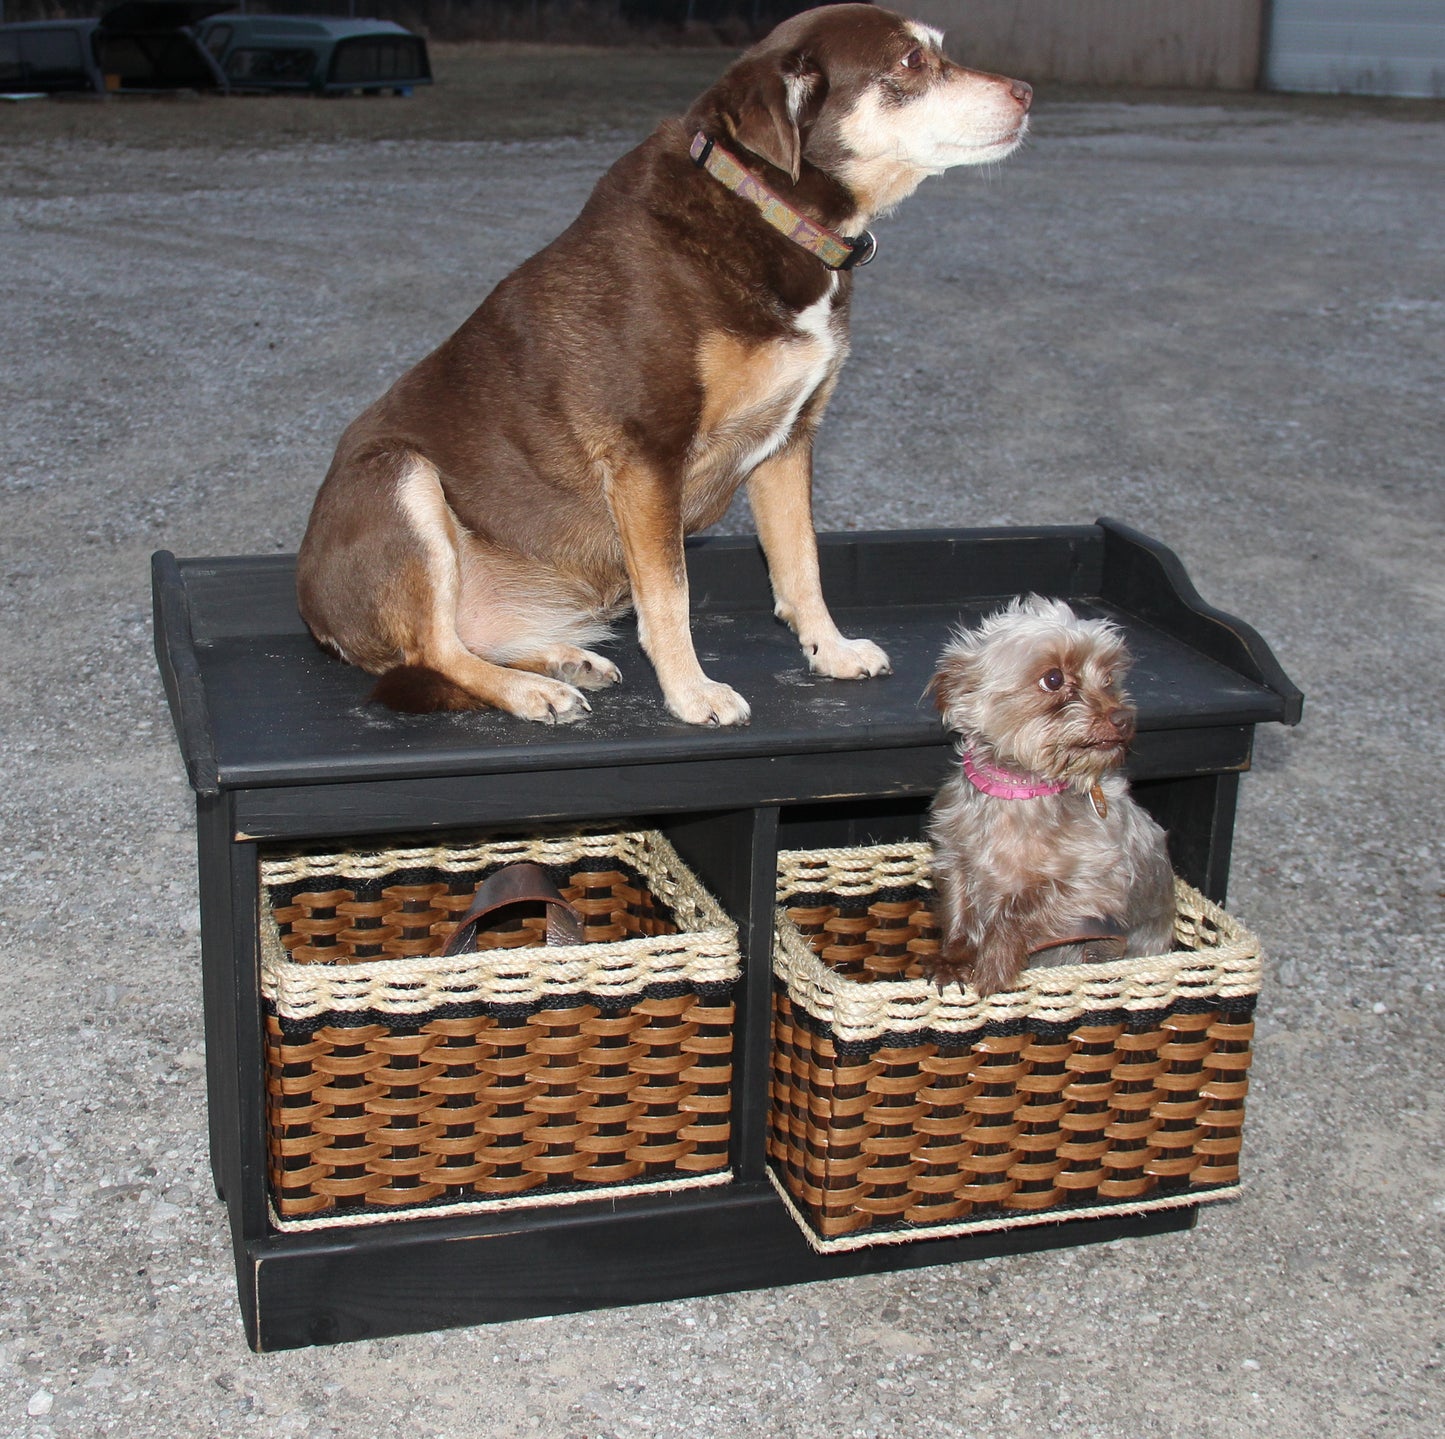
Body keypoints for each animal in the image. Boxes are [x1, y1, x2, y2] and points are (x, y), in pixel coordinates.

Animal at [299, 8, 1034, 731]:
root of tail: (316, 616)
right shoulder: (648, 453)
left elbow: (801, 565)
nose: (1027, 92)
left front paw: (831, 650)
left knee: (463, 642)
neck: (766, 207)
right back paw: (529, 691)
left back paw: (561, 659)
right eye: (911, 62)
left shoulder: (789, 444)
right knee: (437, 651)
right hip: (399, 478)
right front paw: (691, 692)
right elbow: (670, 595)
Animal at [924, 592, 1173, 988]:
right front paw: (953, 960)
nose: (1123, 718)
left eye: (1108, 678)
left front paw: (994, 963)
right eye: (1053, 679)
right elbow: (959, 911)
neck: (1020, 791)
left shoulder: (1094, 884)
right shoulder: (955, 859)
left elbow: (1020, 905)